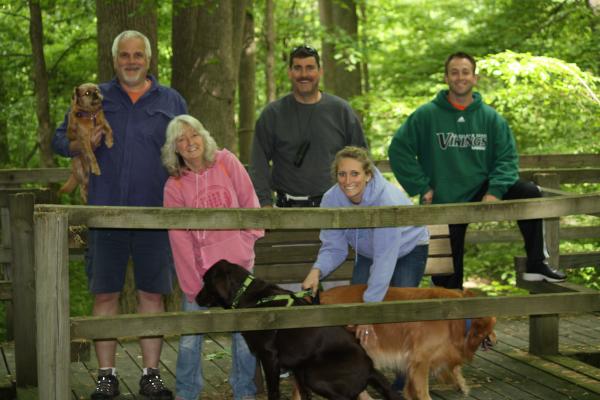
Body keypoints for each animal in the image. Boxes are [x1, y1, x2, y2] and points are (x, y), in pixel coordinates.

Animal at [197, 260, 400, 400]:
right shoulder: (295, 364)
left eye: (205, 281)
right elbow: (304, 395)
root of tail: (370, 367)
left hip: (314, 374)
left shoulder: (270, 358)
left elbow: (274, 392)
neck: (249, 295)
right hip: (304, 369)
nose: (195, 298)